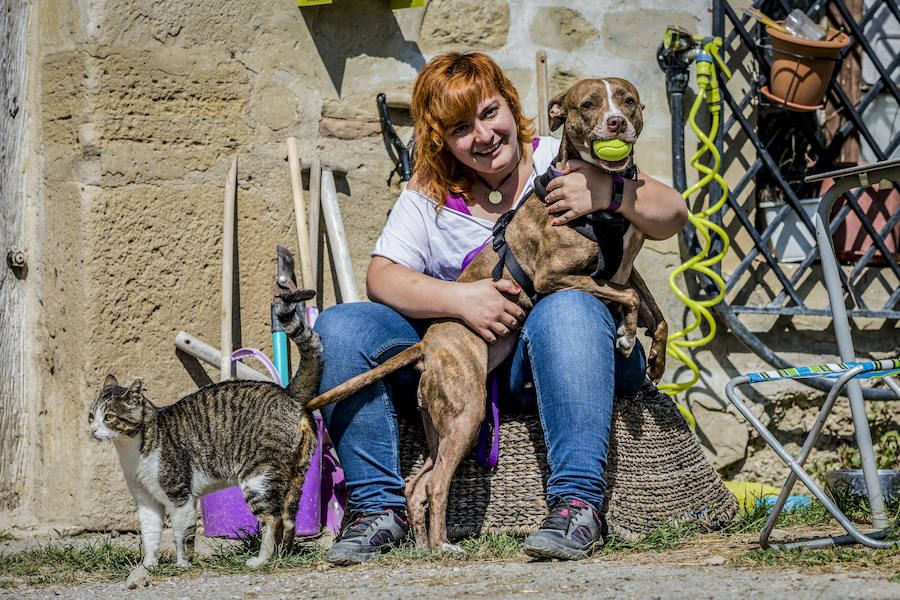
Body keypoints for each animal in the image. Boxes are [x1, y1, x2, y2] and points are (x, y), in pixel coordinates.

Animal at [87, 290, 324, 568]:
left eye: (109, 417)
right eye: (91, 415)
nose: (92, 430)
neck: (131, 451)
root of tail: (287, 392)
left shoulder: (179, 496)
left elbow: (182, 534)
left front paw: (182, 565)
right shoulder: (146, 501)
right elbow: (150, 535)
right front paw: (147, 566)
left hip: (257, 477)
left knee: (272, 518)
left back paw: (261, 560)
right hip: (296, 475)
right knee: (288, 518)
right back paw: (282, 556)